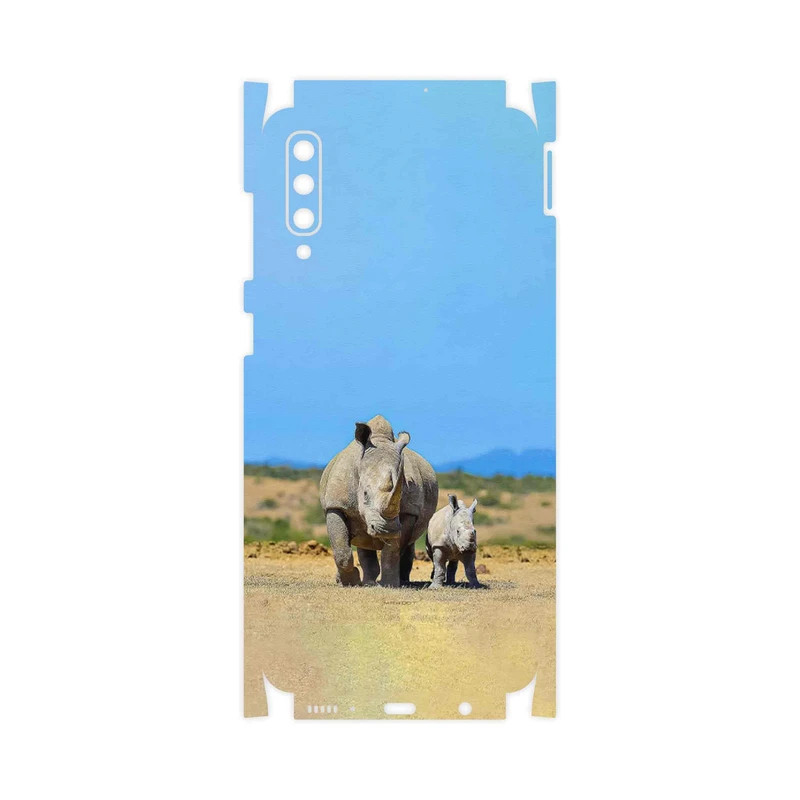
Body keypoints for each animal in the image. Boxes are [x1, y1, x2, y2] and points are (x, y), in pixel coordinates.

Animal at [319, 415, 439, 587]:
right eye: (365, 494)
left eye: (400, 495)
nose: (387, 530)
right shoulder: (336, 505)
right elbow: (341, 549)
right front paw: (350, 582)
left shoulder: (408, 512)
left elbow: (392, 551)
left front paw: (390, 584)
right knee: (362, 540)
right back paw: (366, 582)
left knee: (407, 544)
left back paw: (401, 581)